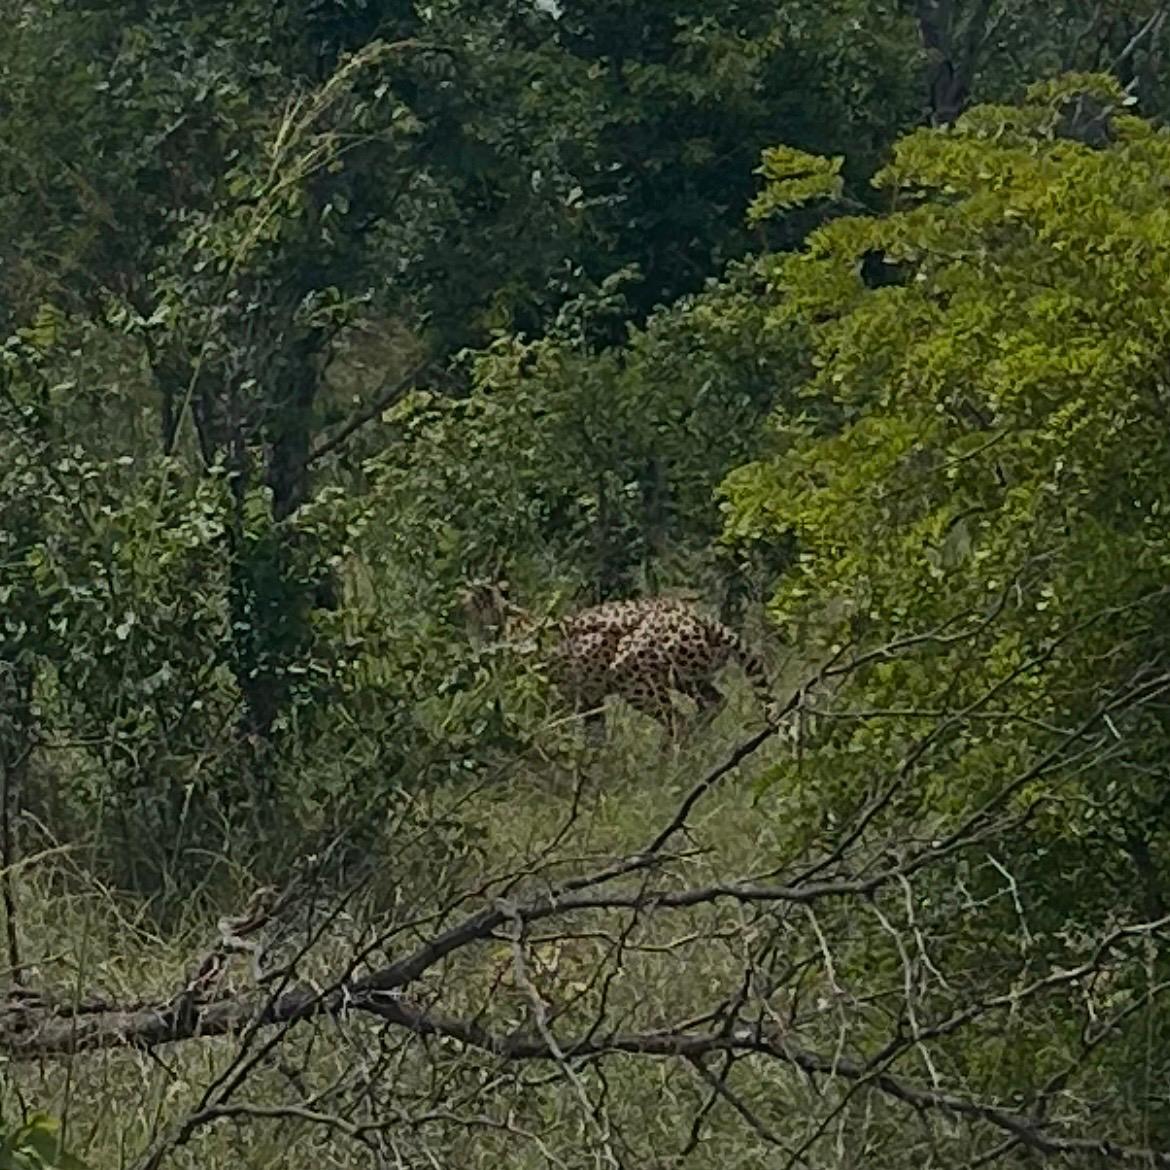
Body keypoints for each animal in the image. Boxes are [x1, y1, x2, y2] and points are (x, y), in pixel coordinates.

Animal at [459, 579, 772, 739]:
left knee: (678, 722)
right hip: (687, 677)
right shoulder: (589, 699)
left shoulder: (555, 697)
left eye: (471, 592)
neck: (502, 617)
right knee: (714, 702)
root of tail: (696, 614)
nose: (456, 595)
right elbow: (595, 739)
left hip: (634, 678)